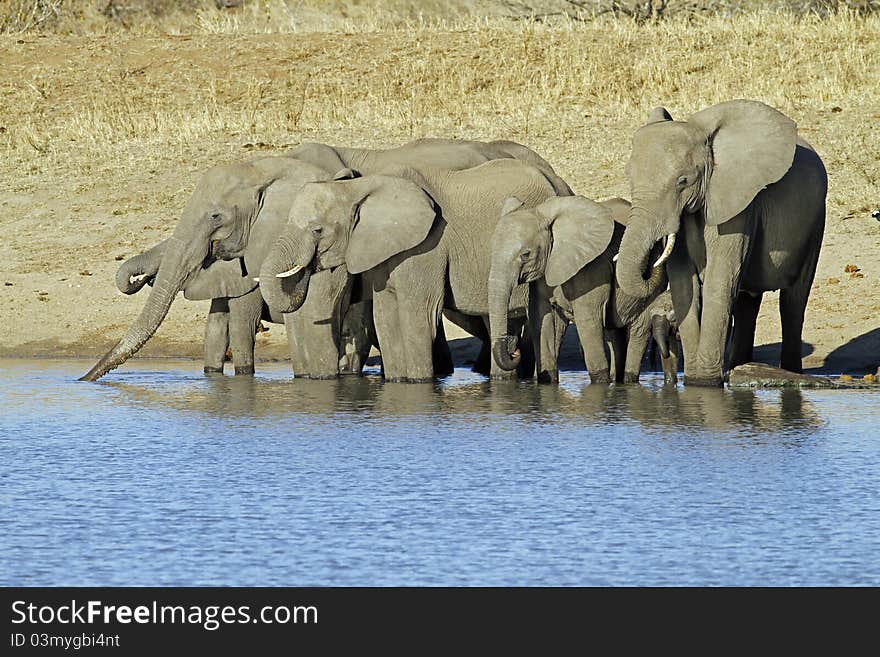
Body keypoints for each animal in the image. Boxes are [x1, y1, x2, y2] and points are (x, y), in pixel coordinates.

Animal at [258, 159, 572, 382]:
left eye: (317, 230)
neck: (359, 188)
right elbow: (385, 317)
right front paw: (398, 382)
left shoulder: (426, 246)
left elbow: (417, 314)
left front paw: (419, 383)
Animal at [488, 193, 668, 384]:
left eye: (526, 254)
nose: (514, 350)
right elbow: (541, 318)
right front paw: (547, 381)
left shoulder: (592, 268)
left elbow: (588, 320)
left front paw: (600, 383)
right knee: (614, 334)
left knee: (638, 332)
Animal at [612, 98, 824, 384]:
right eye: (629, 178)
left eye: (683, 181)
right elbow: (684, 286)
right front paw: (694, 382)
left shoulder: (737, 204)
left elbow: (719, 282)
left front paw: (706, 383)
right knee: (747, 302)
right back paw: (740, 368)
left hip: (815, 224)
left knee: (793, 302)